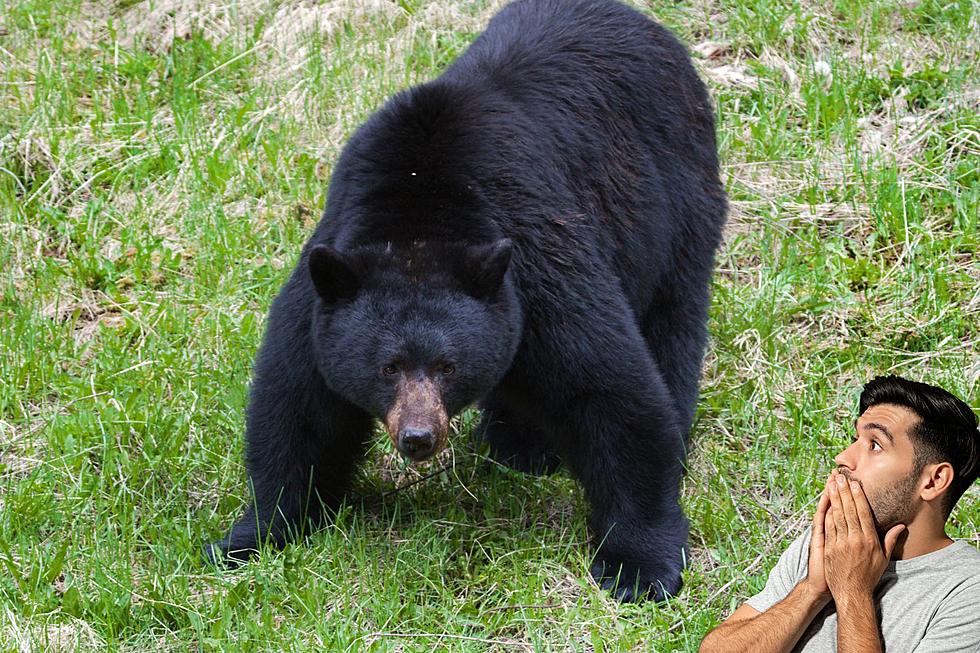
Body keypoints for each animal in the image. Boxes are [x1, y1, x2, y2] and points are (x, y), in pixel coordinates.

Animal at [209, 0, 728, 600]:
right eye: (387, 367)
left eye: (446, 366)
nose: (417, 437)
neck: (419, 214)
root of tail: (645, 25)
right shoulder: (326, 282)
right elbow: (299, 409)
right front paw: (251, 537)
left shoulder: (538, 263)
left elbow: (609, 389)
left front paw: (639, 566)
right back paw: (518, 446)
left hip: (679, 199)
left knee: (672, 319)